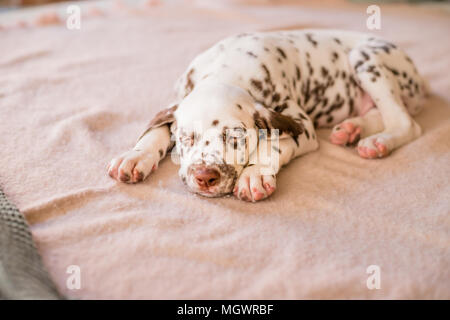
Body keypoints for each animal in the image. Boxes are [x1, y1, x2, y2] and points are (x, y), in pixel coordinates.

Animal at [108, 28, 428, 201]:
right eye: (187, 138)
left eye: (235, 139)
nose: (205, 177)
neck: (228, 68)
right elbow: (157, 129)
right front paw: (136, 156)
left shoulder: (303, 126)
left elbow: (271, 143)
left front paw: (255, 175)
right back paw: (351, 129)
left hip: (366, 58)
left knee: (404, 122)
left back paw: (378, 142)